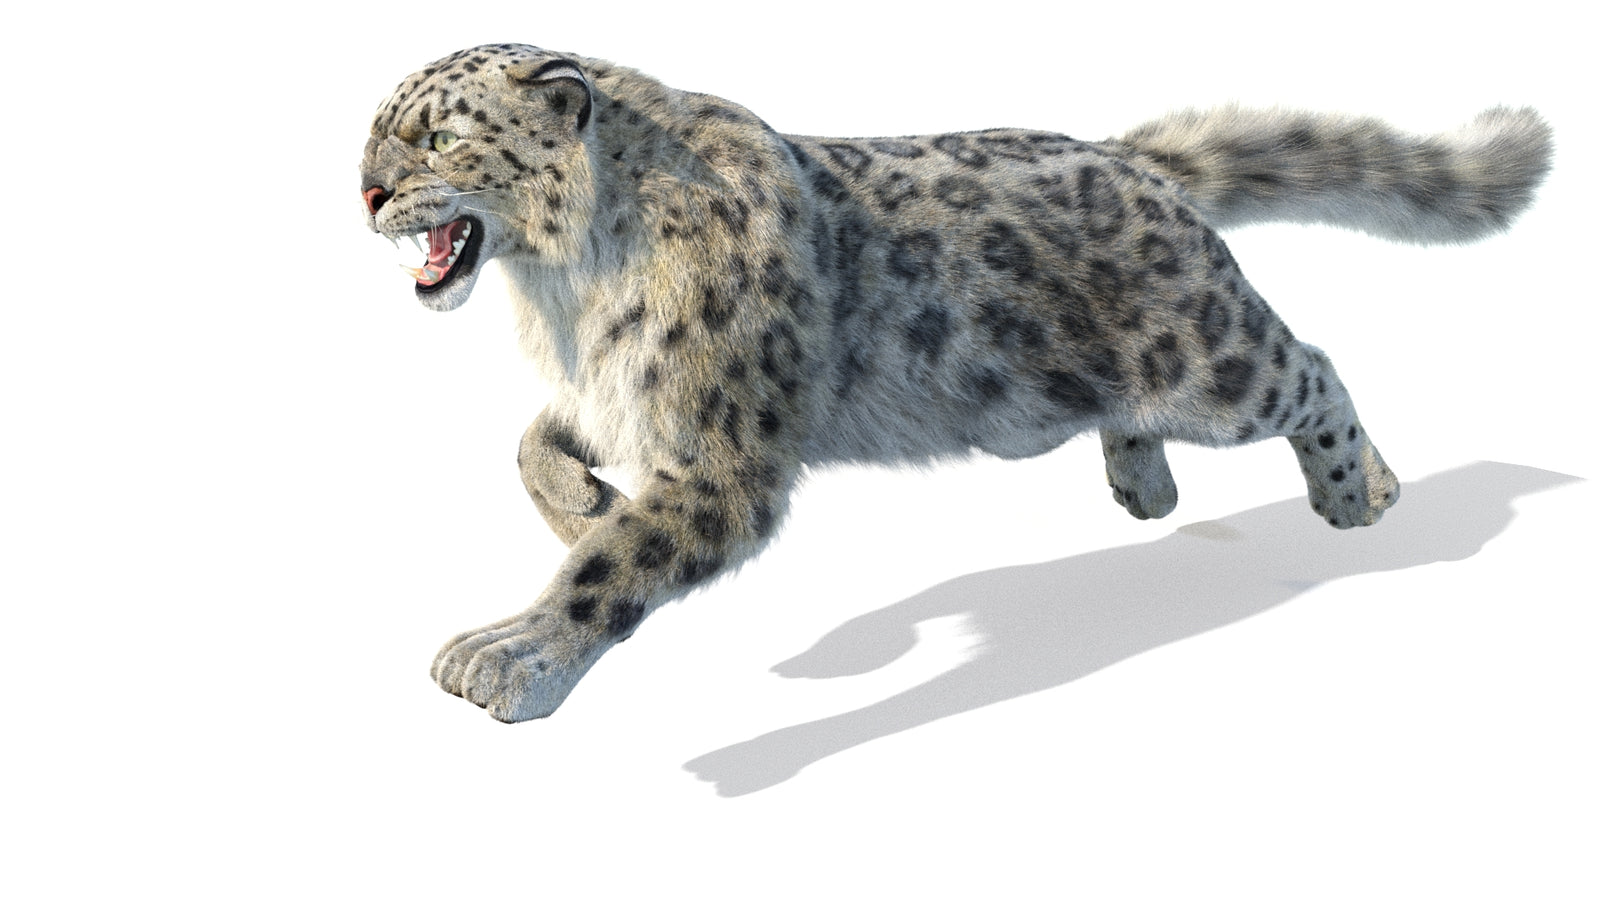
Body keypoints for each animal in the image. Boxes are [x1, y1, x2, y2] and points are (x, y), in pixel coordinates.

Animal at [359, 43, 1551, 722]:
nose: (363, 191)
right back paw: (1146, 489)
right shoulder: (619, 397)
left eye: (438, 135)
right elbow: (530, 443)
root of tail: (1137, 164)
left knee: (1311, 368)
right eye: (376, 134)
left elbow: (615, 569)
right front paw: (585, 503)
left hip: (1211, 361)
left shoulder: (721, 449)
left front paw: (509, 655)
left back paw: (1358, 494)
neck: (563, 294)